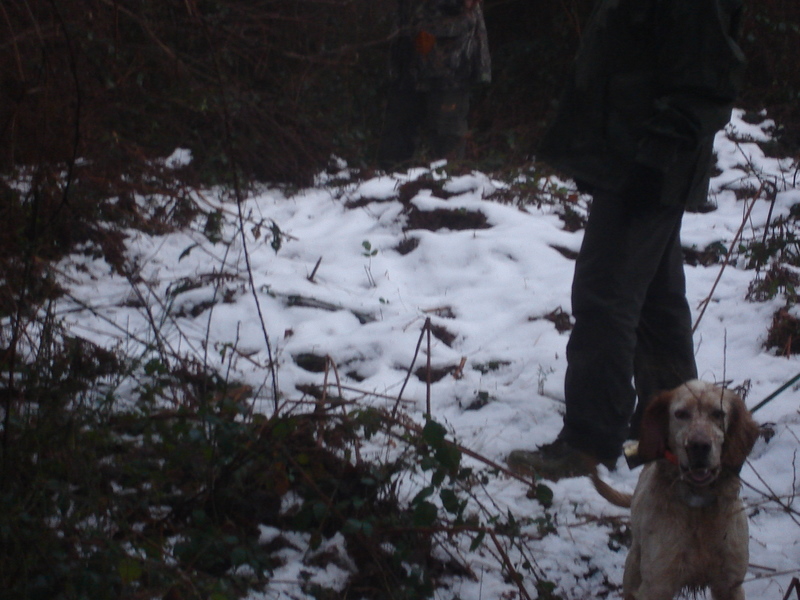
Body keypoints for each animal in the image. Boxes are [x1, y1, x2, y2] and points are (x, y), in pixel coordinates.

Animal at [592, 379, 760, 600]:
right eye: (680, 414)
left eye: (718, 413)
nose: (698, 446)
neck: (698, 504)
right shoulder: (657, 584)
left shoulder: (730, 583)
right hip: (633, 566)